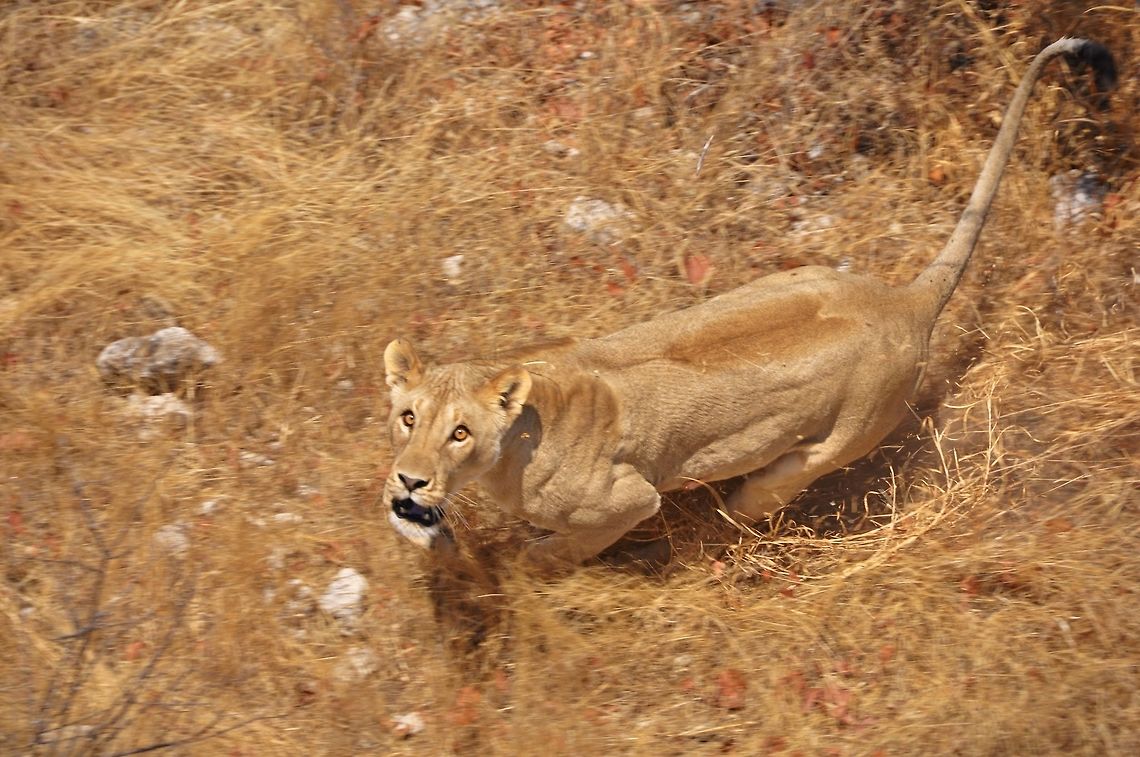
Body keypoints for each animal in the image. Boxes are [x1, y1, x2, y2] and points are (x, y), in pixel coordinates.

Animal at [382, 38, 1115, 569]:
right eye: (408, 417)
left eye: (460, 432)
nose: (410, 480)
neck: (521, 437)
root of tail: (901, 299)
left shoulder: (628, 500)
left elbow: (565, 546)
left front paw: (525, 564)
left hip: (818, 452)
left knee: (754, 498)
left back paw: (713, 535)